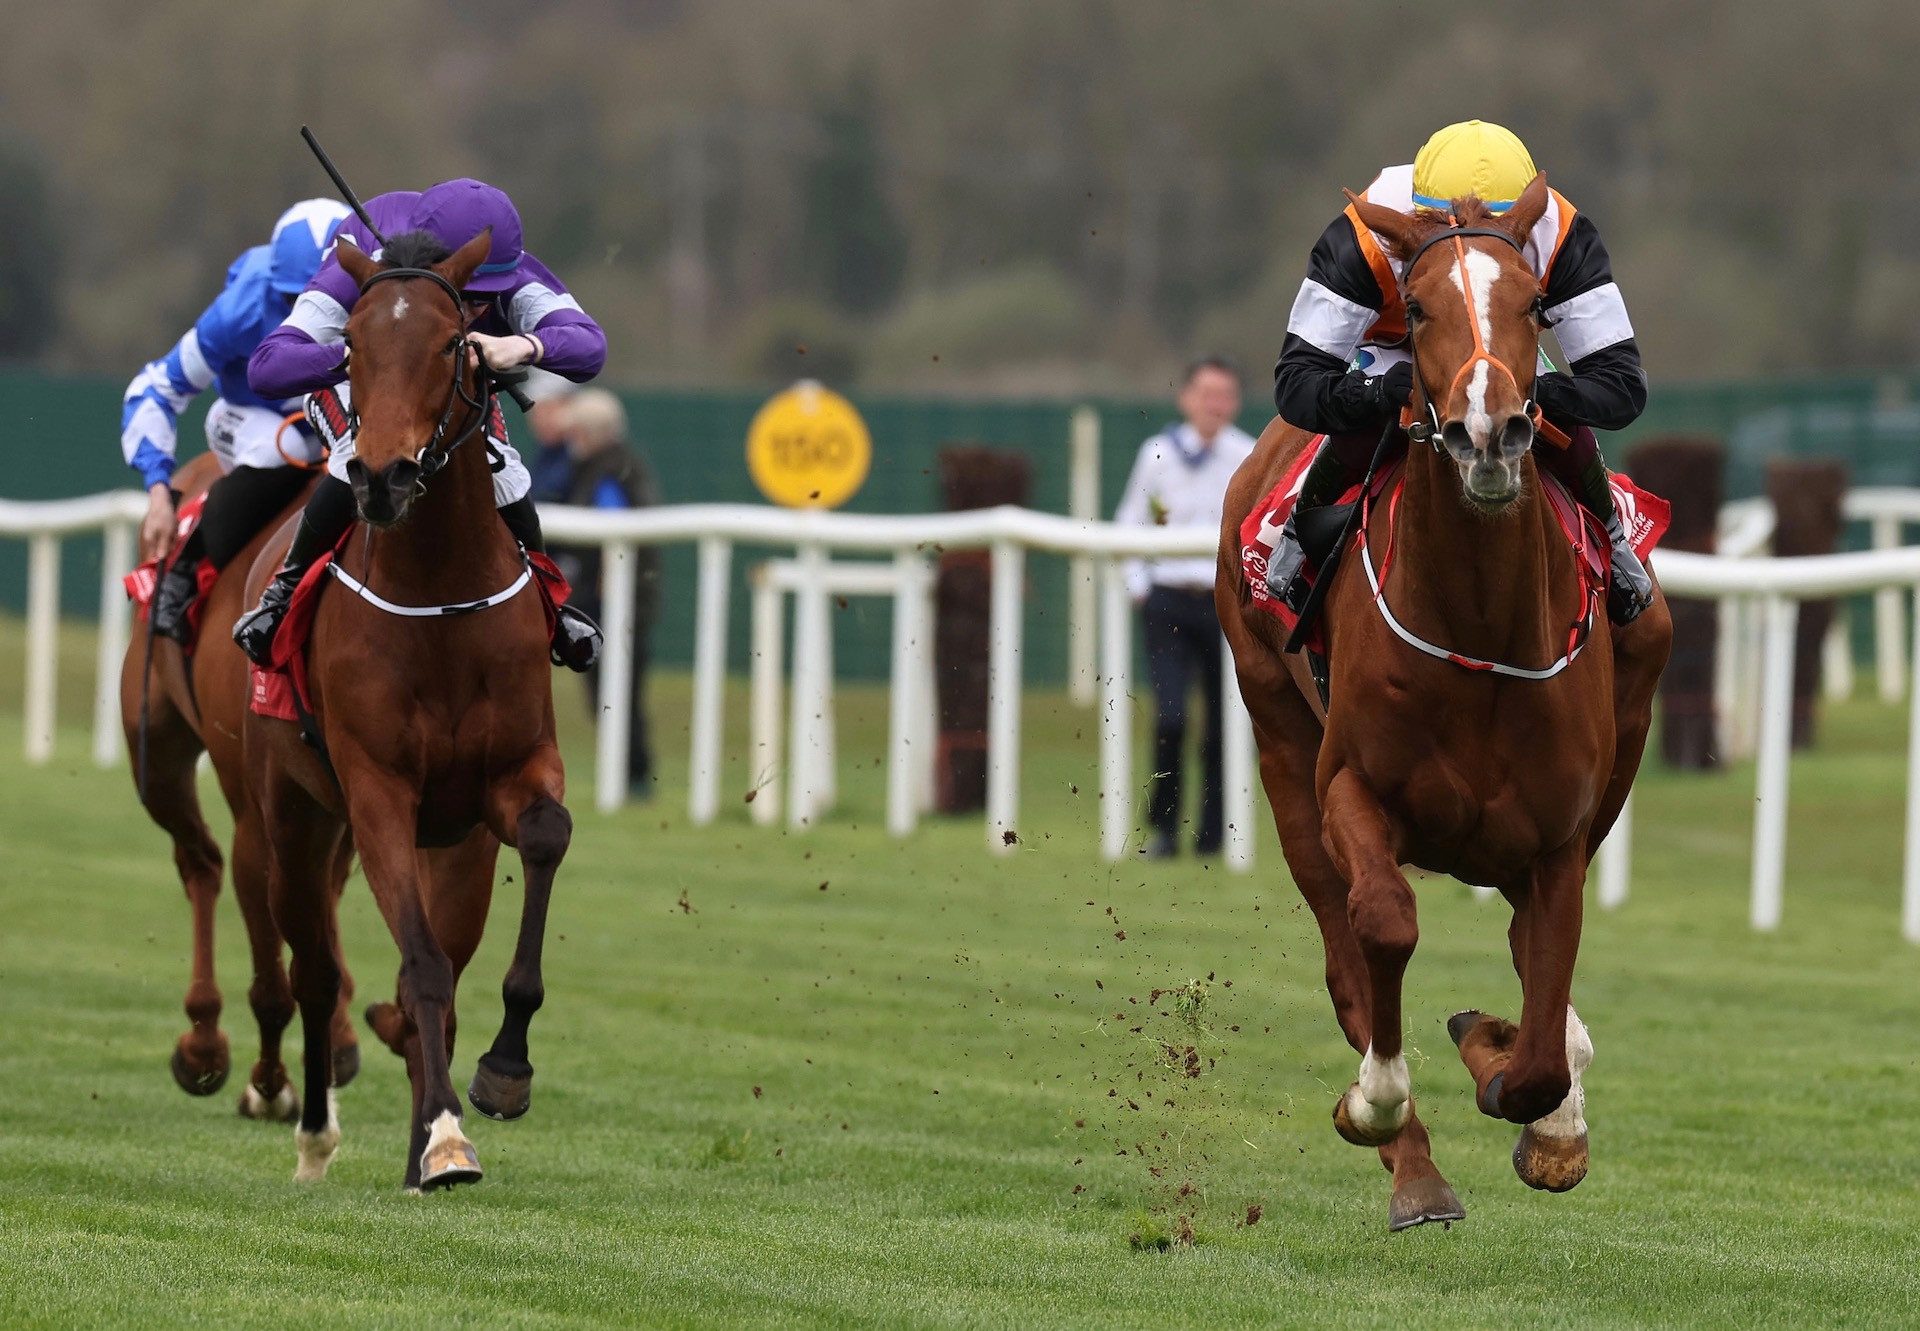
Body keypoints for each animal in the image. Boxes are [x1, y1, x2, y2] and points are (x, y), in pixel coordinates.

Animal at [119, 451, 360, 1113]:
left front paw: (334, 1039)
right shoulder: (261, 811)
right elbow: (272, 974)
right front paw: (270, 1084)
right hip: (156, 750)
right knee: (201, 861)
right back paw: (203, 1043)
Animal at [241, 222, 568, 1190]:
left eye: (454, 342)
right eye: (350, 346)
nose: (381, 477)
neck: (441, 594)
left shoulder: (512, 774)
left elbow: (544, 840)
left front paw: (501, 1074)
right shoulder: (377, 787)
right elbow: (417, 962)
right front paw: (447, 1136)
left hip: (452, 842)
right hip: (293, 815)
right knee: (316, 968)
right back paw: (321, 1134)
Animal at [1221, 173, 1674, 1221]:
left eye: (1537, 305)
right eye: (1418, 306)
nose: (1490, 432)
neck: (1478, 628)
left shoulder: (1556, 839)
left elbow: (1540, 1042)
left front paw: (1536, 1104)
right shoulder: (1351, 789)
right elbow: (1384, 927)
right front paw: (1380, 1104)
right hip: (1279, 744)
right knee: (1344, 948)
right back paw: (1414, 1168)